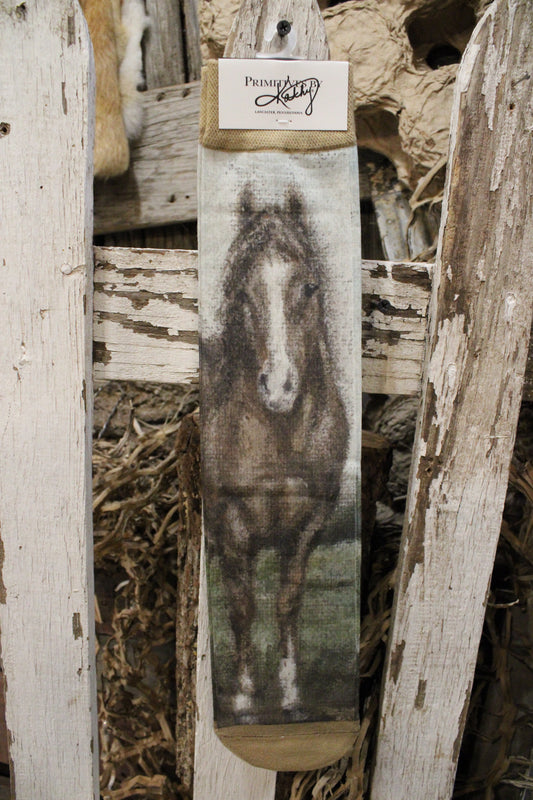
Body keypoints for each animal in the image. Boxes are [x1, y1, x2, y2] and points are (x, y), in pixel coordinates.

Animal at [201, 185, 349, 722]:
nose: (279, 387)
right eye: (242, 293)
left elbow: (287, 602)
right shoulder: (231, 525)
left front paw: (290, 695)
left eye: (309, 287)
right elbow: (242, 607)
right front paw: (244, 698)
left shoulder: (307, 527)